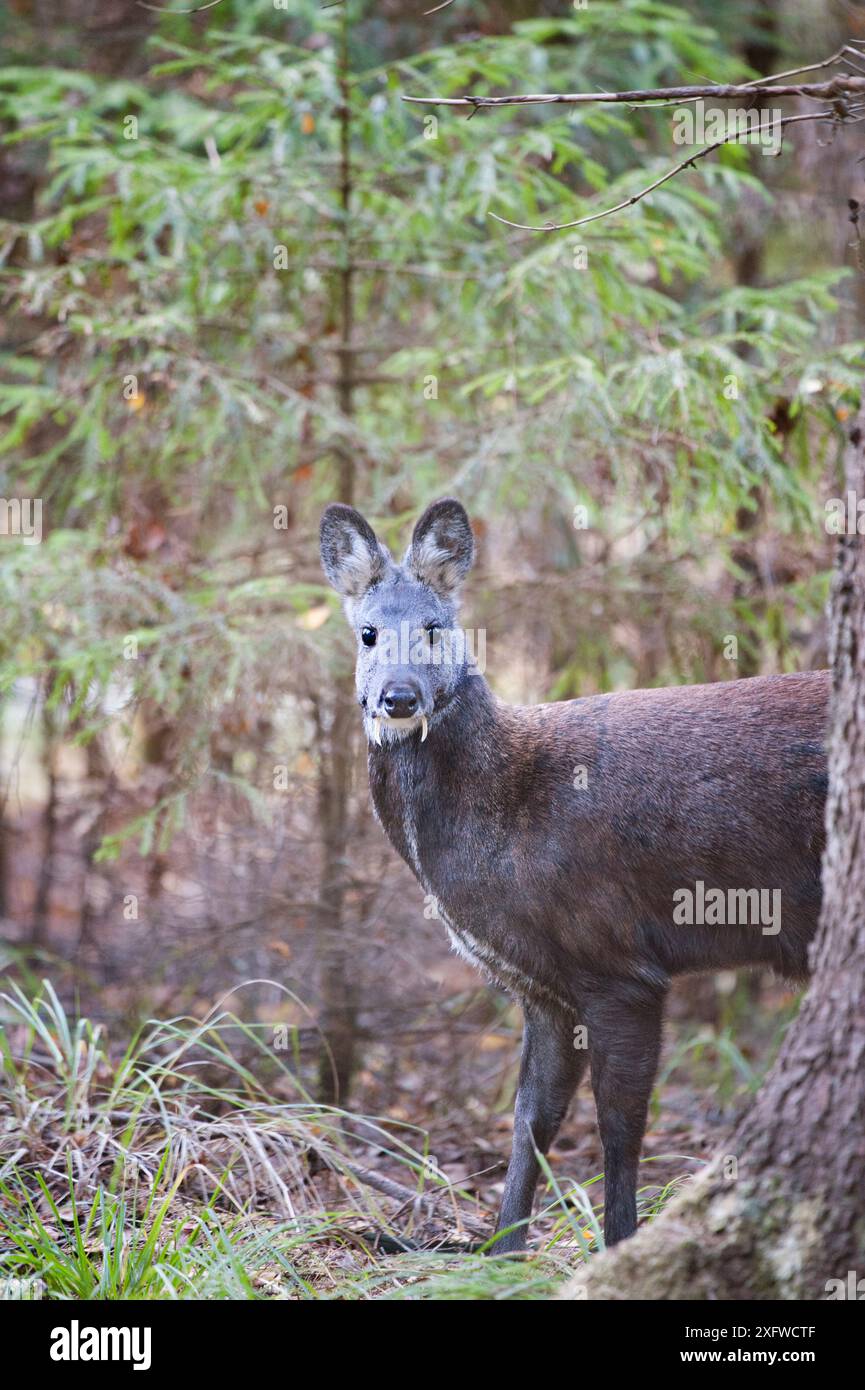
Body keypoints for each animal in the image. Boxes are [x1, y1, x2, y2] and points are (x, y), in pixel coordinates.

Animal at [318, 497, 834, 1251]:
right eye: (366, 632)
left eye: (436, 627)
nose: (399, 697)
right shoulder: (542, 988)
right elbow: (532, 1119)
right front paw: (500, 1250)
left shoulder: (618, 963)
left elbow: (619, 1127)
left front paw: (617, 1244)